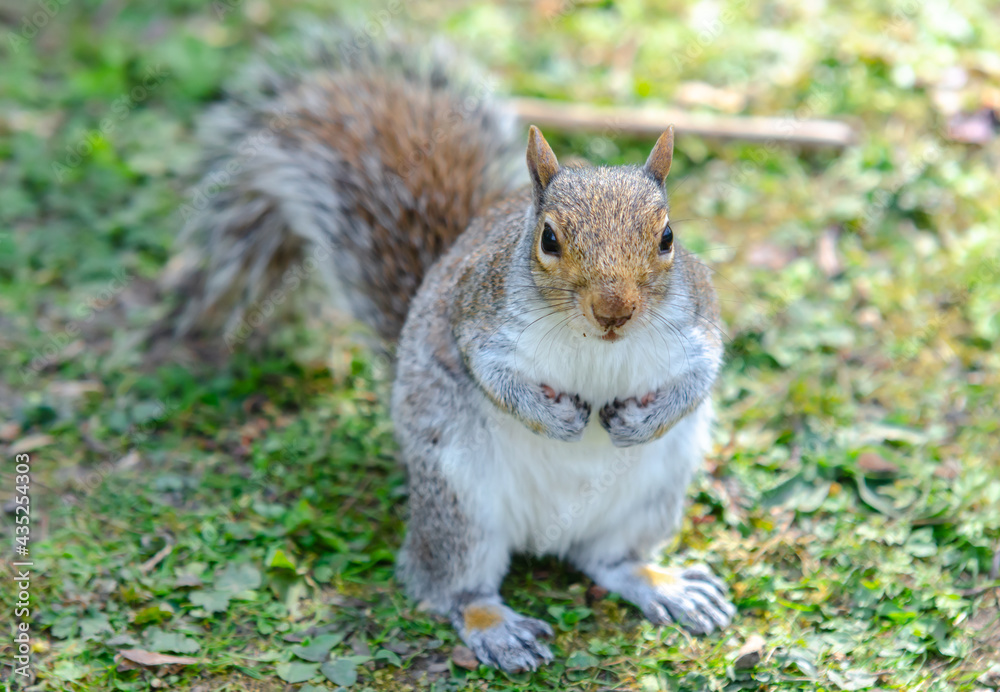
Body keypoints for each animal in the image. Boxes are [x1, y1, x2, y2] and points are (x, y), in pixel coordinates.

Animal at [166, 31, 735, 672]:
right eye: (548, 239)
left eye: (667, 237)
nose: (614, 311)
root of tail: (550, 535)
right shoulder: (477, 318)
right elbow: (489, 374)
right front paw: (555, 419)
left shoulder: (698, 319)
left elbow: (702, 375)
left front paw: (645, 421)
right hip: (459, 500)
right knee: (450, 587)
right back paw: (496, 626)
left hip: (649, 498)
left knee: (608, 561)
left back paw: (666, 587)